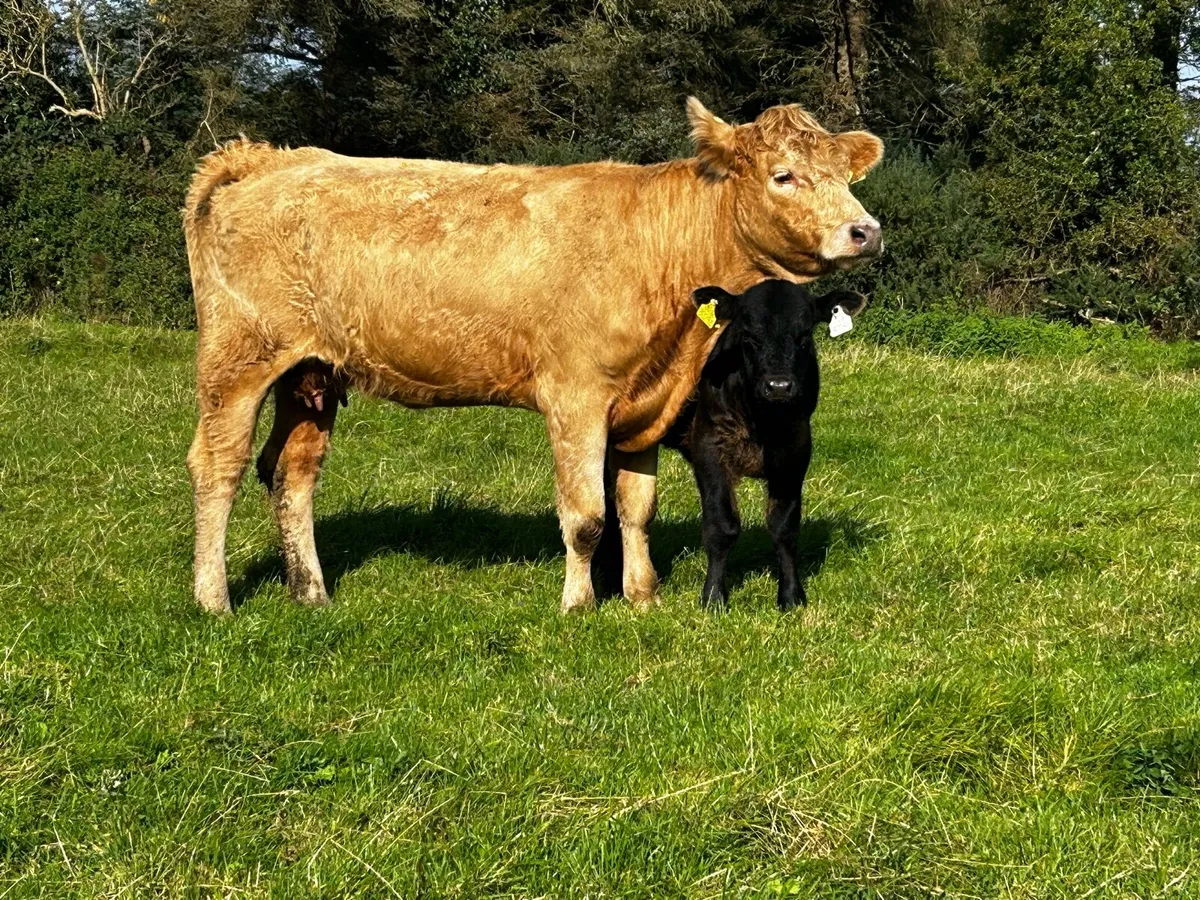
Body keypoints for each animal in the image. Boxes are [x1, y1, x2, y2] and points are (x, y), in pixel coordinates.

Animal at [659, 280, 866, 612]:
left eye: (804, 335)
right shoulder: (708, 447)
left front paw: (791, 596)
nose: (778, 386)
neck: (762, 421)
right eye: (748, 335)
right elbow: (721, 525)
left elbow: (784, 526)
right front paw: (714, 597)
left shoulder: (796, 449)